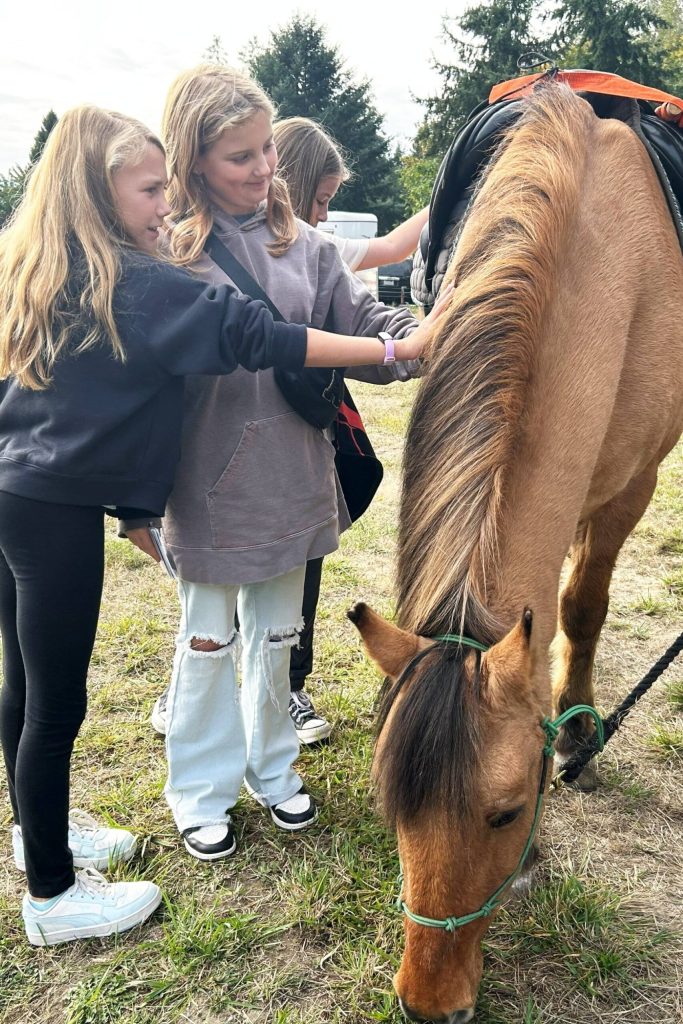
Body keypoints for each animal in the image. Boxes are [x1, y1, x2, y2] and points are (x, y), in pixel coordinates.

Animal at [348, 82, 683, 1023]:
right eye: (392, 809)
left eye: (505, 813)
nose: (429, 1005)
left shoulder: (632, 485)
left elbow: (581, 606)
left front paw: (575, 735)